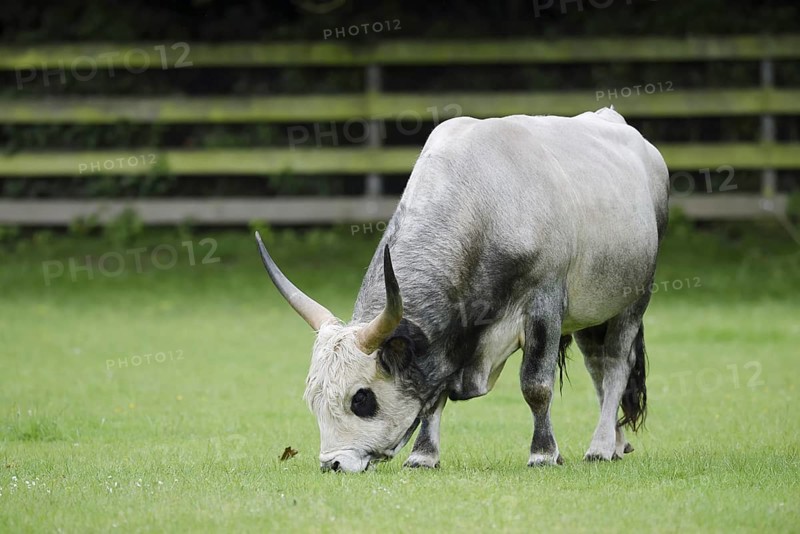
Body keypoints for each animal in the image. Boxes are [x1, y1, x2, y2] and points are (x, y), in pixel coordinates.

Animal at [256, 107, 669, 472]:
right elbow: (432, 397)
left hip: (633, 301)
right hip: (590, 312)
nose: (334, 464)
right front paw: (423, 456)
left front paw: (543, 453)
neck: (484, 206)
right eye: (312, 398)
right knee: (597, 366)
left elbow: (536, 385)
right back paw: (615, 442)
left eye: (361, 398)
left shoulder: (544, 307)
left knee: (616, 364)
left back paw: (599, 446)